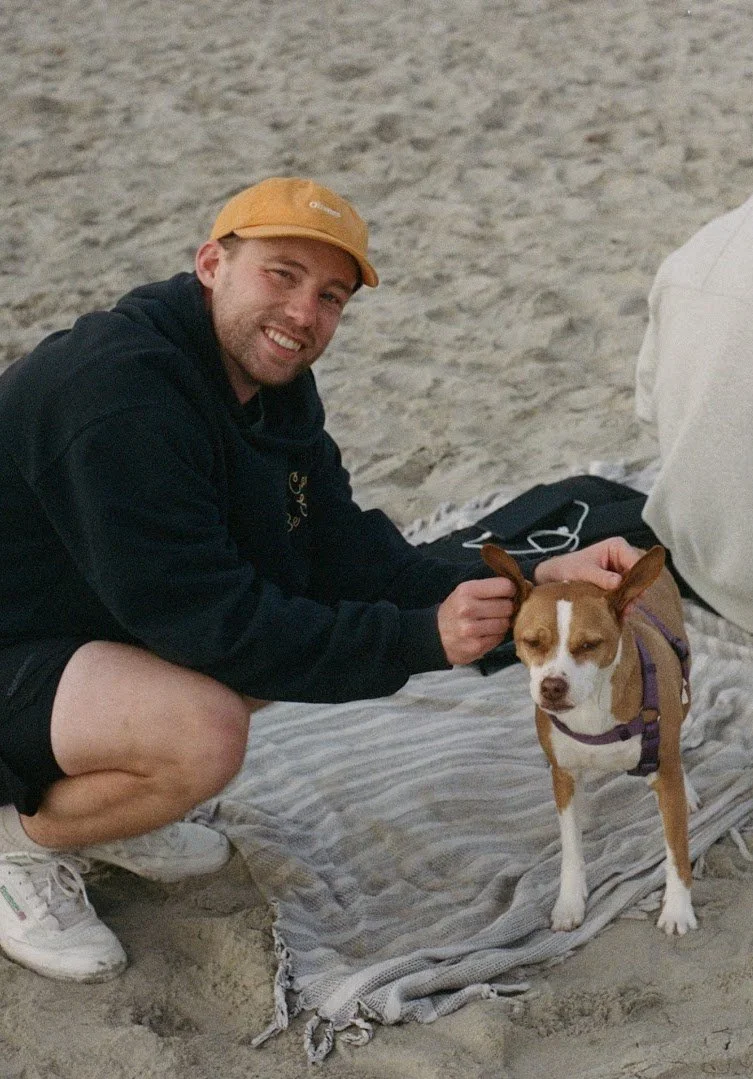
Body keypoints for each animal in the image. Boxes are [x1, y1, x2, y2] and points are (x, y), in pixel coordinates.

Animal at [481, 543, 697, 936]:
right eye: (532, 642)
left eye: (590, 644)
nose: (552, 686)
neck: (593, 709)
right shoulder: (563, 776)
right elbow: (570, 847)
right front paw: (569, 901)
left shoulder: (665, 767)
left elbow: (676, 849)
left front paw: (677, 908)